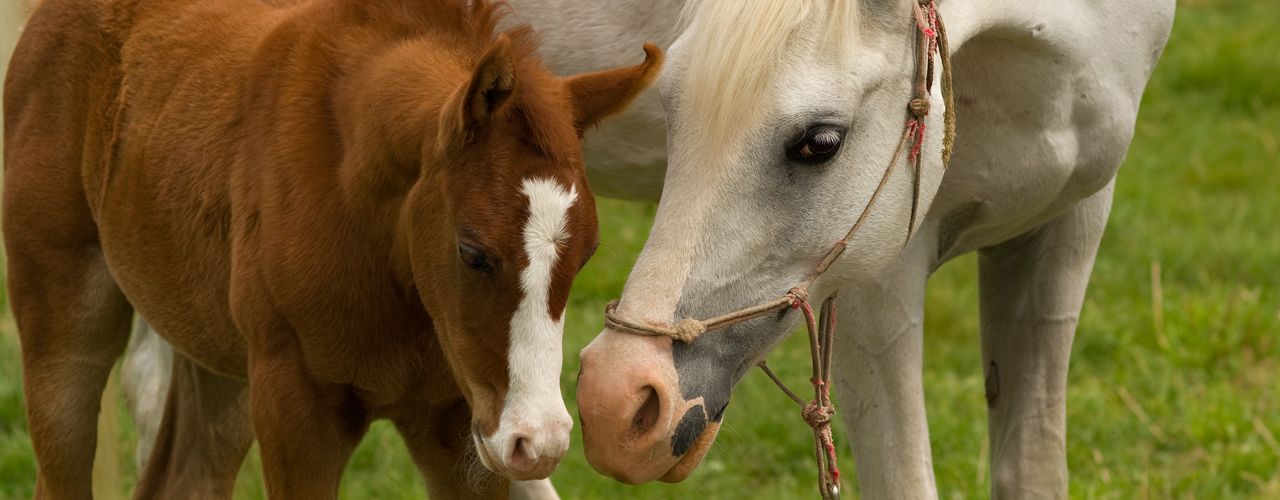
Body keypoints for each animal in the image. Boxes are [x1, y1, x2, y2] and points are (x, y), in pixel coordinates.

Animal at [2, 0, 660, 498]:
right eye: (473, 252)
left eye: (587, 255)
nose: (539, 441)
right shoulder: (295, 414)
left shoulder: (456, 421)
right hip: (65, 320)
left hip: (222, 360)